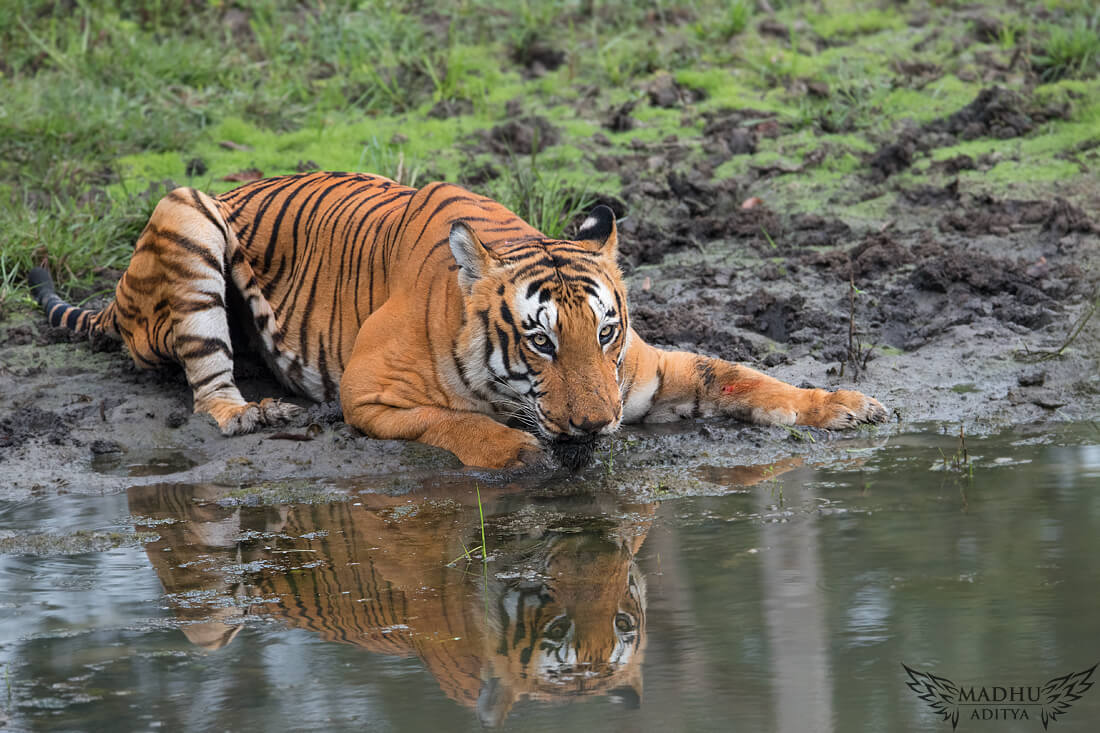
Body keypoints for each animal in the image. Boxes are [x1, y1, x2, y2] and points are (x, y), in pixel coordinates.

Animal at [27, 171, 884, 468]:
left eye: (604, 333)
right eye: (539, 341)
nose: (597, 428)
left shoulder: (647, 372)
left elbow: (748, 375)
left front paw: (844, 405)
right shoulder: (369, 391)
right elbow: (458, 421)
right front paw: (515, 449)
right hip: (187, 216)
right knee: (208, 386)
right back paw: (252, 412)